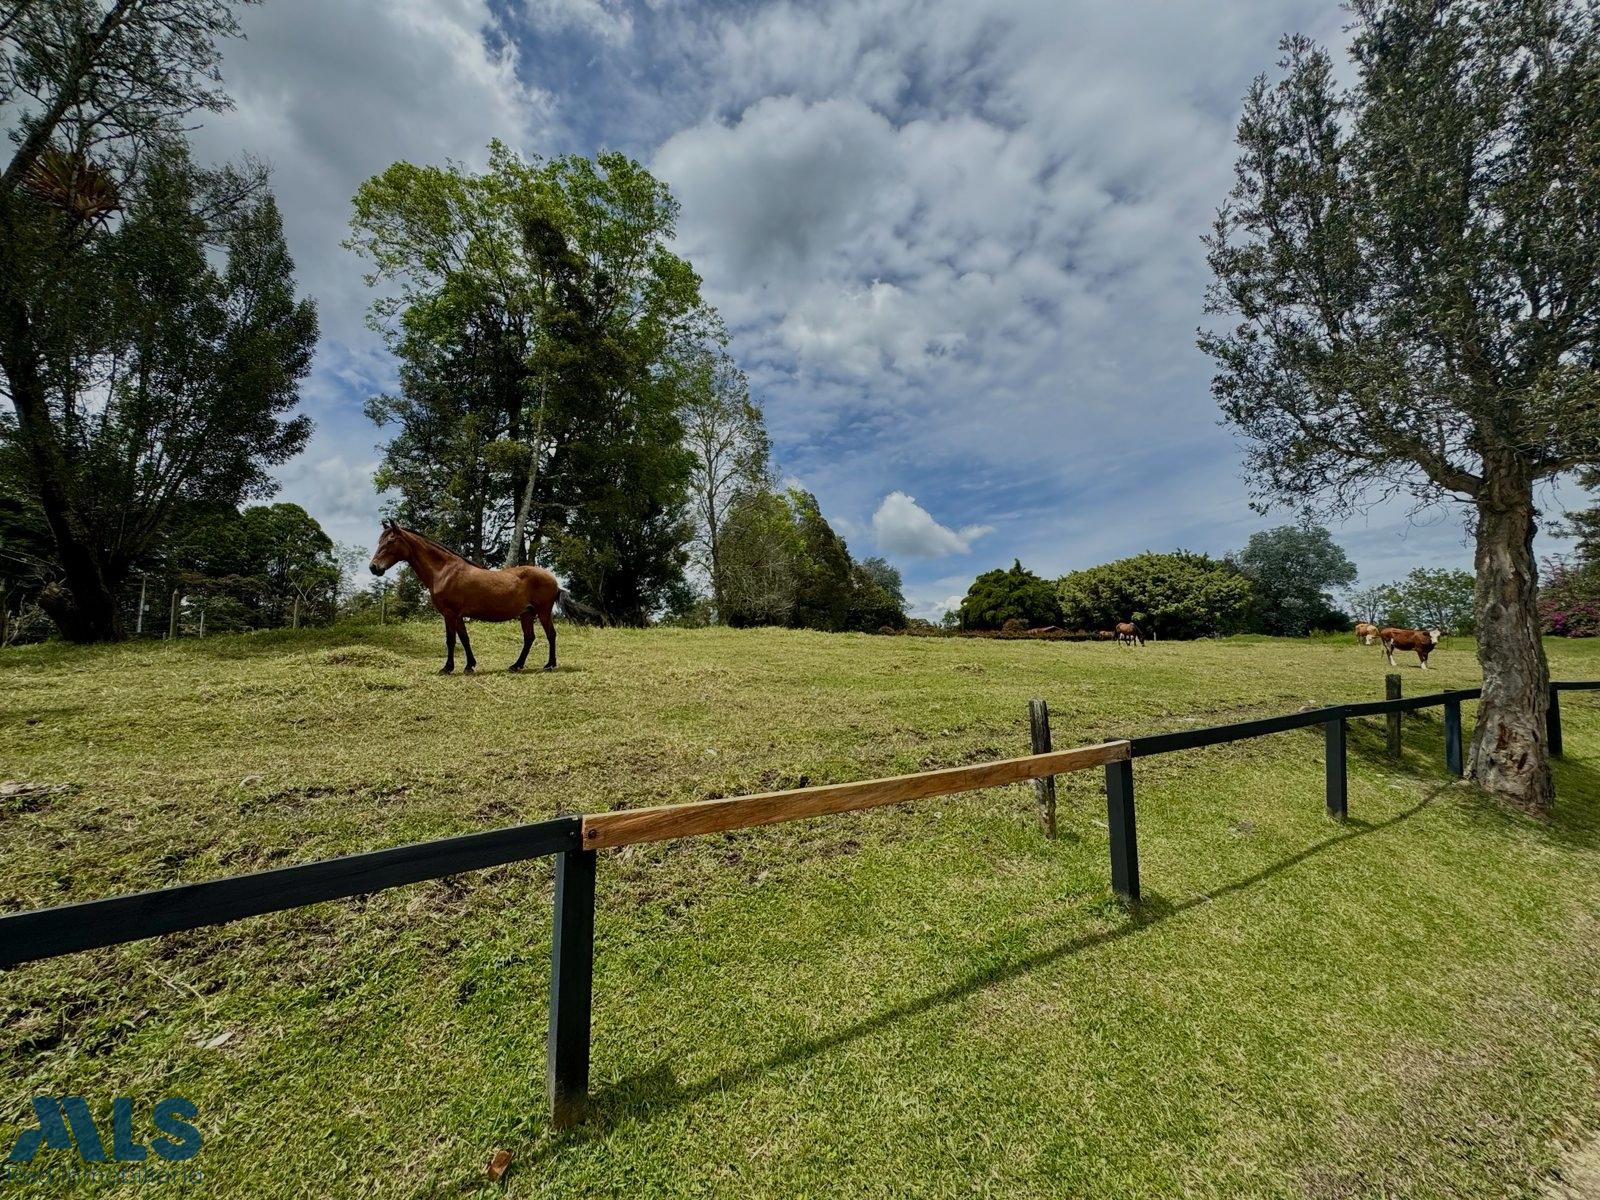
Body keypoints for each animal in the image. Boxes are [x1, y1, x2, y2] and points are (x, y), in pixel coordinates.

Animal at [368, 521, 584, 673]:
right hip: (527, 614)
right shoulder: (457, 615)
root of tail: (553, 579)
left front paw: (447, 668)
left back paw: (549, 664)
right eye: (379, 541)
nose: (373, 568)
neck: (444, 571)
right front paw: (469, 665)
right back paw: (516, 665)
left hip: (543, 611)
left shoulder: (449, 613)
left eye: (390, 541)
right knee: (529, 638)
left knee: (551, 635)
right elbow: (464, 639)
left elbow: (451, 640)